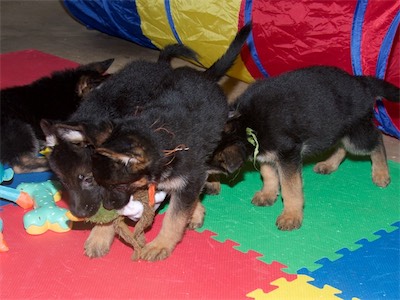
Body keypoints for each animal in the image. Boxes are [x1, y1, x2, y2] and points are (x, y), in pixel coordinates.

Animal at [68, 24, 250, 262]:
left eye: (117, 185)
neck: (159, 135)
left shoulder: (189, 179)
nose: (106, 205)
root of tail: (203, 77)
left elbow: (175, 217)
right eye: (95, 182)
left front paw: (160, 245)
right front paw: (100, 236)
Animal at [211, 65, 398, 230]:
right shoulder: (267, 153)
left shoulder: (288, 154)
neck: (245, 123)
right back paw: (328, 164)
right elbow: (269, 174)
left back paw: (381, 174)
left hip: (355, 137)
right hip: (334, 129)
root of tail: (362, 82)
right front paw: (268, 194)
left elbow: (290, 188)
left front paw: (291, 216)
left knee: (377, 139)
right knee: (341, 146)